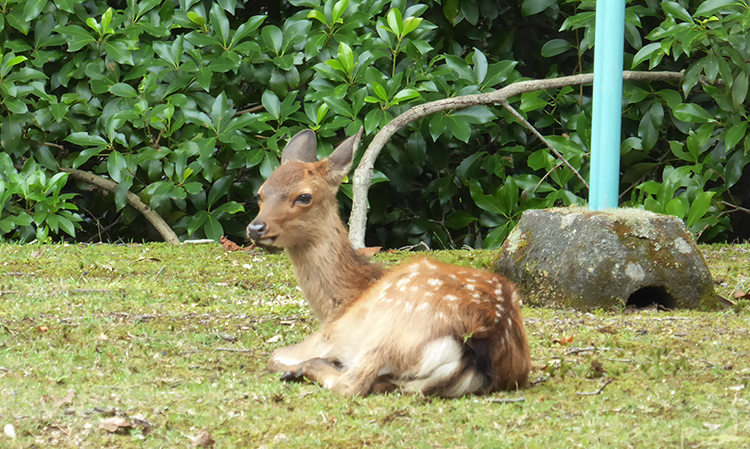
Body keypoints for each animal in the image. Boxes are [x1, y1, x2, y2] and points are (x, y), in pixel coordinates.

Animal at [248, 127, 536, 396]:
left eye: (304, 196)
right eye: (260, 194)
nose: (255, 228)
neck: (342, 301)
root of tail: (482, 339)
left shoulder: (332, 335)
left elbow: (275, 356)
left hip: (389, 329)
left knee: (351, 383)